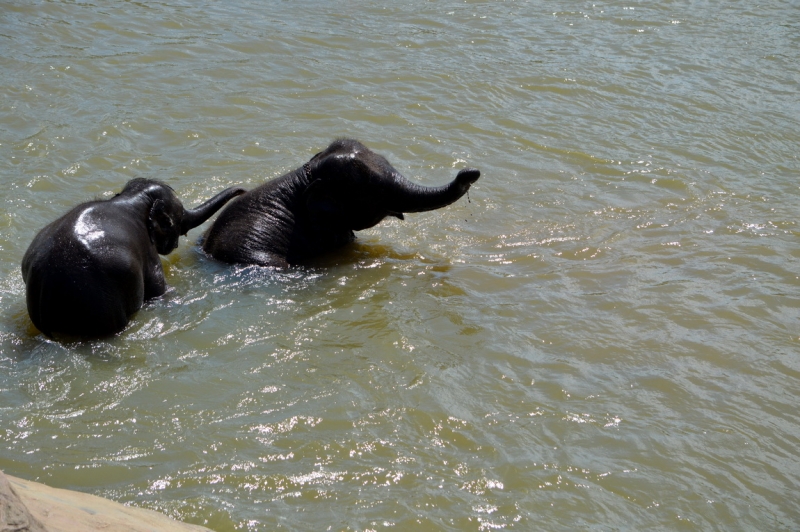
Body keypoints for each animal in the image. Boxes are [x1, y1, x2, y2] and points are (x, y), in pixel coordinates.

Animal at [23, 177, 245, 338]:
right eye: (178, 215)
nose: (242, 190)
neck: (132, 198)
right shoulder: (147, 250)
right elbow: (158, 291)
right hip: (99, 303)